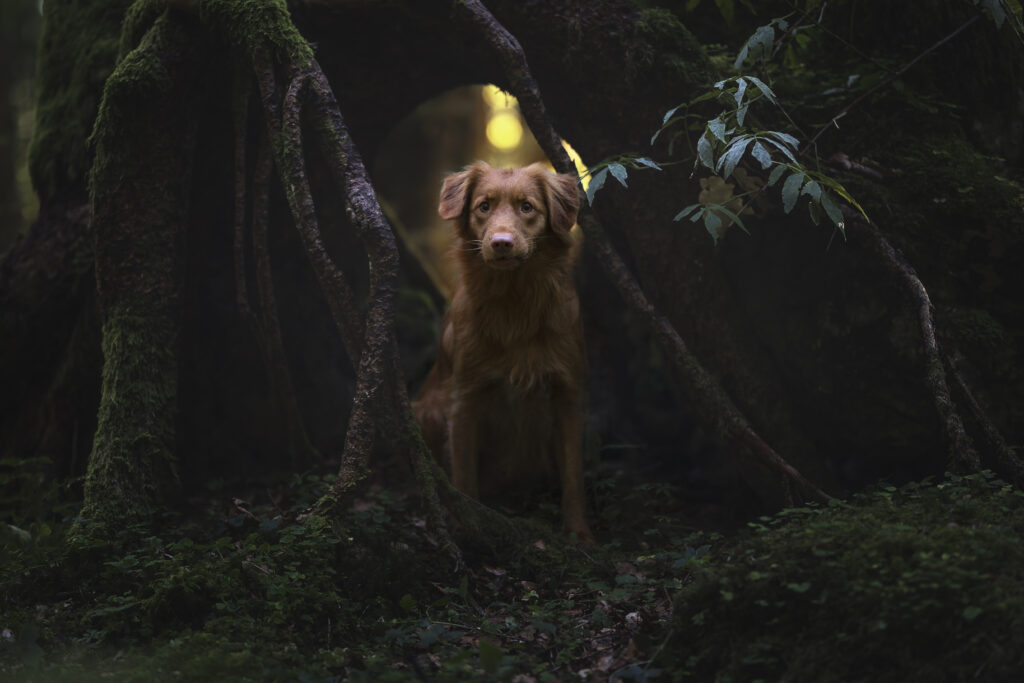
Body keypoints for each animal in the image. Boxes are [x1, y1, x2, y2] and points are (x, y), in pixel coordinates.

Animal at [411, 161, 593, 544]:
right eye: (484, 206)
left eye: (527, 207)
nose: (501, 243)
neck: (514, 303)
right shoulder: (465, 397)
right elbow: (464, 475)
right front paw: (467, 526)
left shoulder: (567, 394)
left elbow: (573, 474)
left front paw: (579, 533)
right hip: (427, 411)